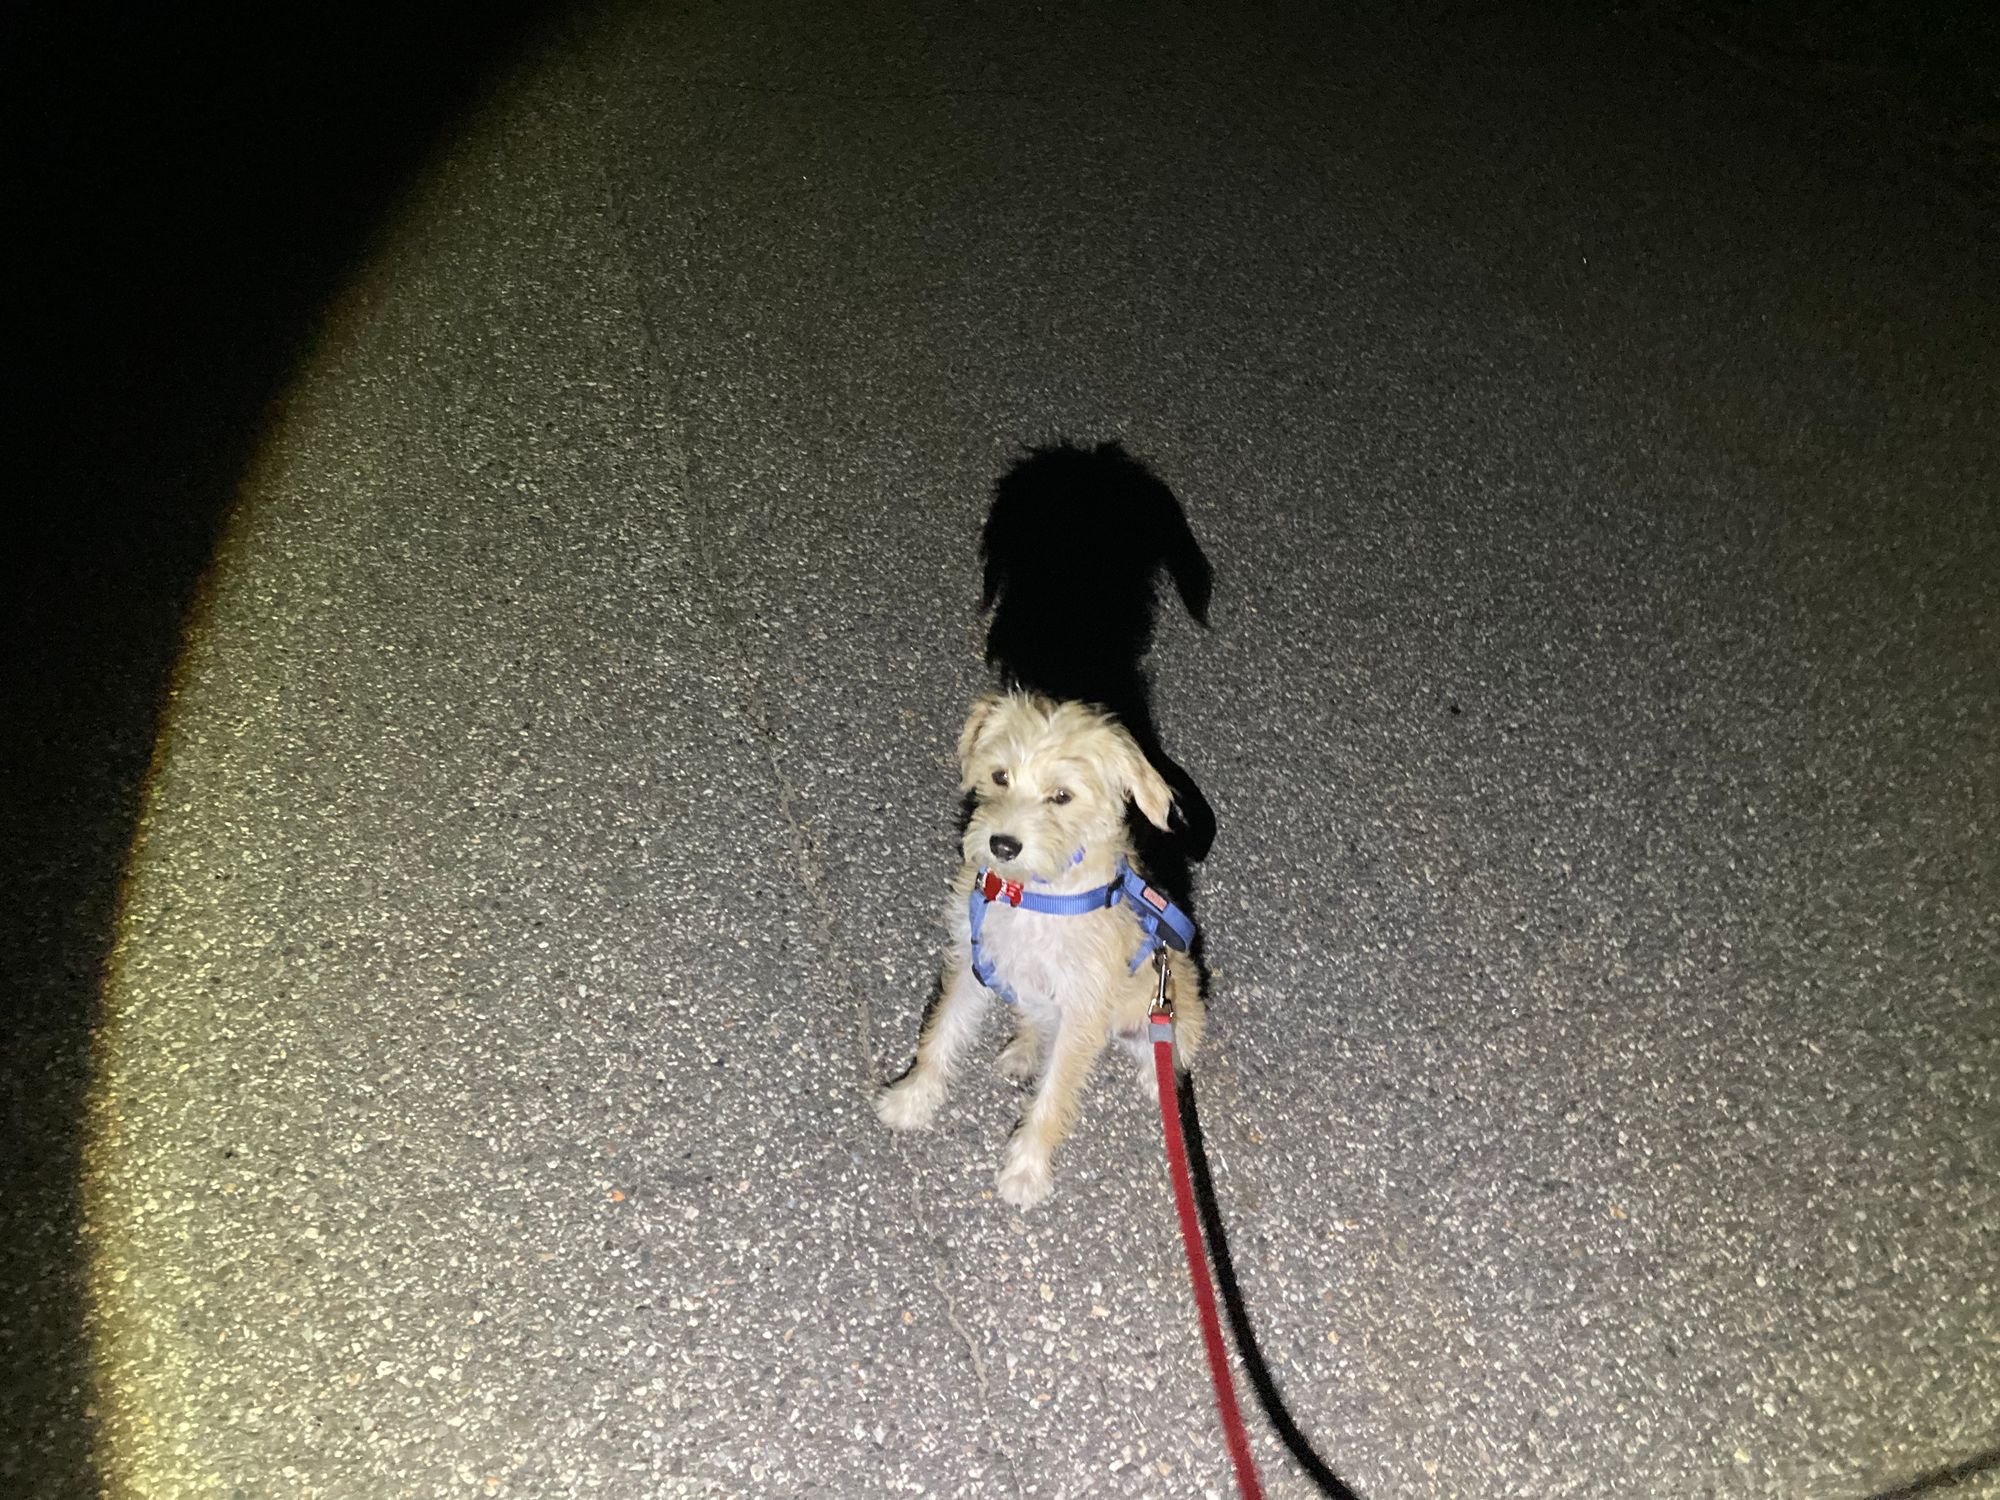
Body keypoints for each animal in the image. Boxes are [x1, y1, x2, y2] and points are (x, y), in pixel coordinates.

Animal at [876, 692, 1200, 1208]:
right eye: (999, 776)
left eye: (1062, 796)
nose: (1003, 845)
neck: (1032, 893)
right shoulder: (971, 962)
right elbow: (940, 1033)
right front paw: (911, 1099)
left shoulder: (1083, 1009)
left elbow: (1053, 1096)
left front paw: (1026, 1169)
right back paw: (1023, 1051)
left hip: (1167, 1010)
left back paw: (1157, 1078)